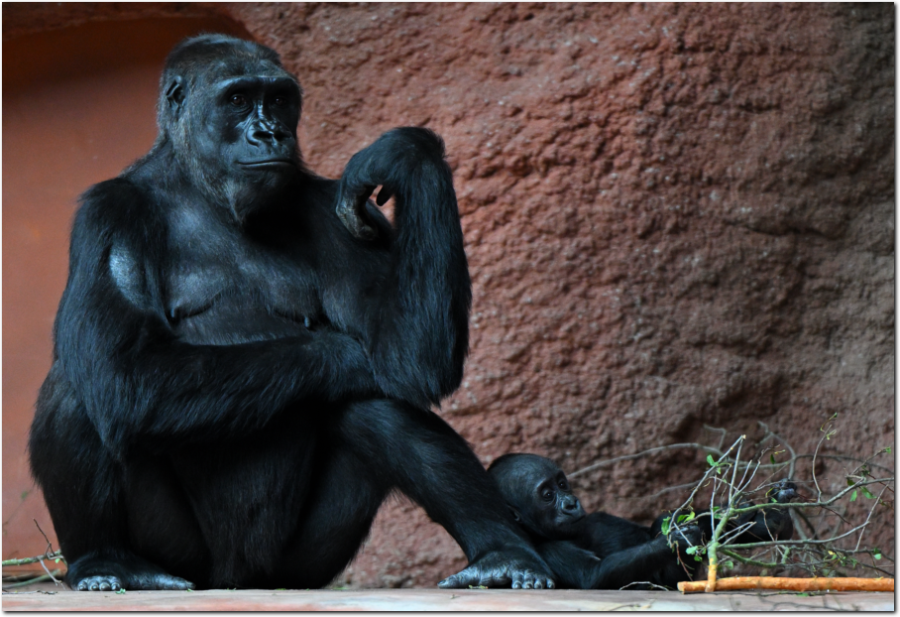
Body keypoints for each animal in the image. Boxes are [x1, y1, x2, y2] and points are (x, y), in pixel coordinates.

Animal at [31, 33, 552, 592]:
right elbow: (121, 373)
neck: (199, 186)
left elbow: (407, 356)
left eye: (279, 99)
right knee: (80, 388)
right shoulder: (107, 215)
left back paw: (501, 552)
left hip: (301, 567)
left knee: (376, 402)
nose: (269, 132)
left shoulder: (334, 207)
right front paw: (343, 352)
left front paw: (409, 155)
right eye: (238, 99)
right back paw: (107, 561)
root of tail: (238, 582)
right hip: (188, 560)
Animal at [492, 452, 796, 588]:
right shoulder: (546, 550)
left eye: (562, 484)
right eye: (547, 495)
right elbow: (592, 575)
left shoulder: (595, 517)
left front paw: (762, 516)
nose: (569, 504)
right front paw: (676, 538)